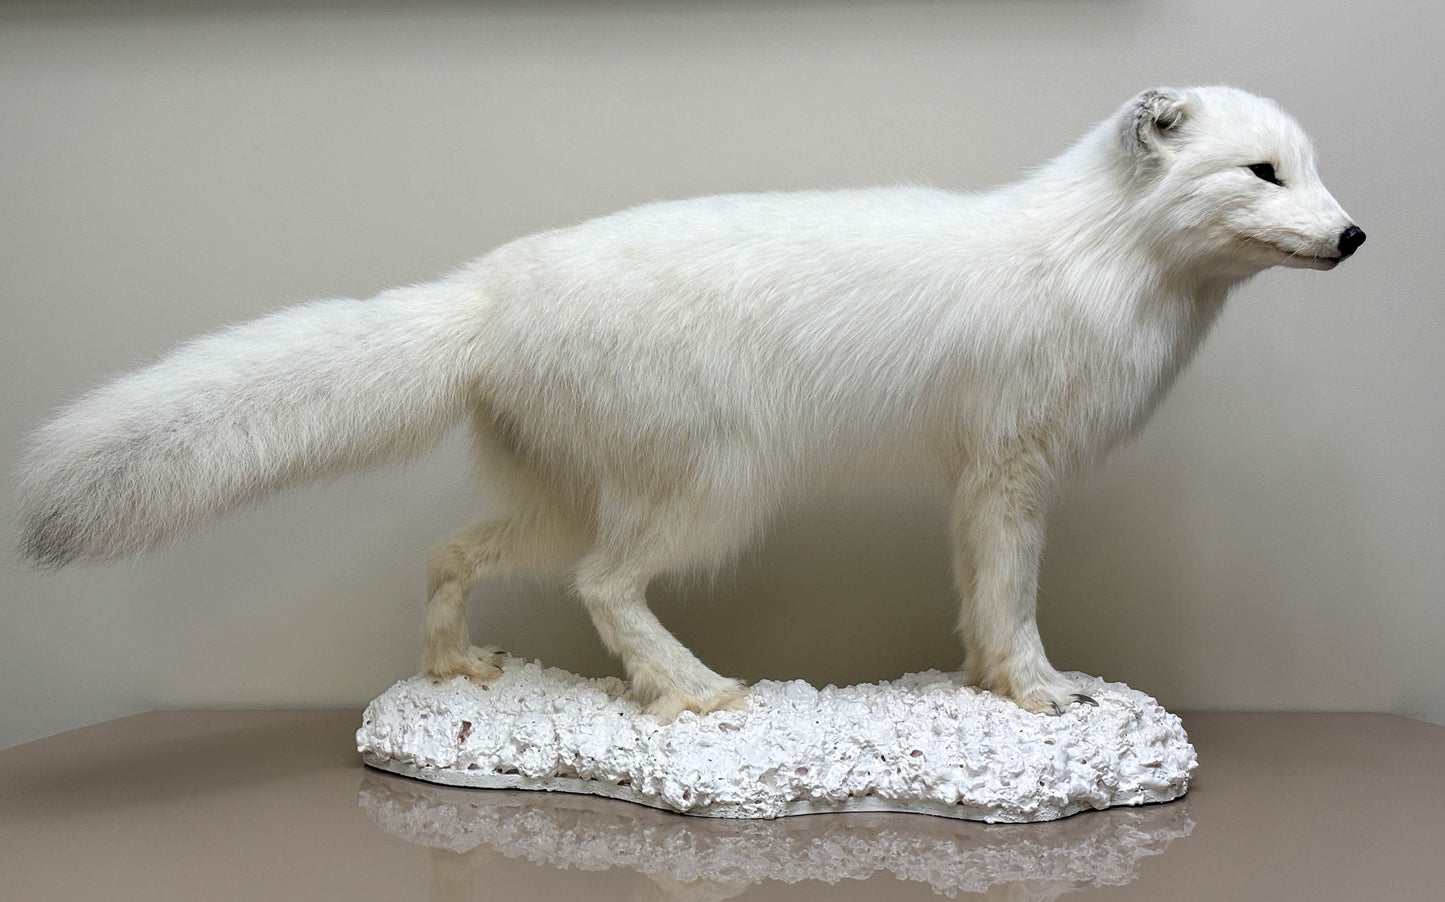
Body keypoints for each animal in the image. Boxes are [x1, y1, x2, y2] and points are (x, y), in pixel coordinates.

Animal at [16, 86, 1363, 719]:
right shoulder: (1007, 470)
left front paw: (995, 682)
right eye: (1259, 172)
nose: (1353, 234)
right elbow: (1009, 599)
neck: (1098, 261)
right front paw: (1038, 691)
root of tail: (489, 290)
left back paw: (456, 668)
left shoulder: (986, 480)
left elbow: (982, 605)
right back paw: (694, 688)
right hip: (714, 490)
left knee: (454, 552)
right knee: (605, 585)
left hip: (565, 495)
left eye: (1313, 167)